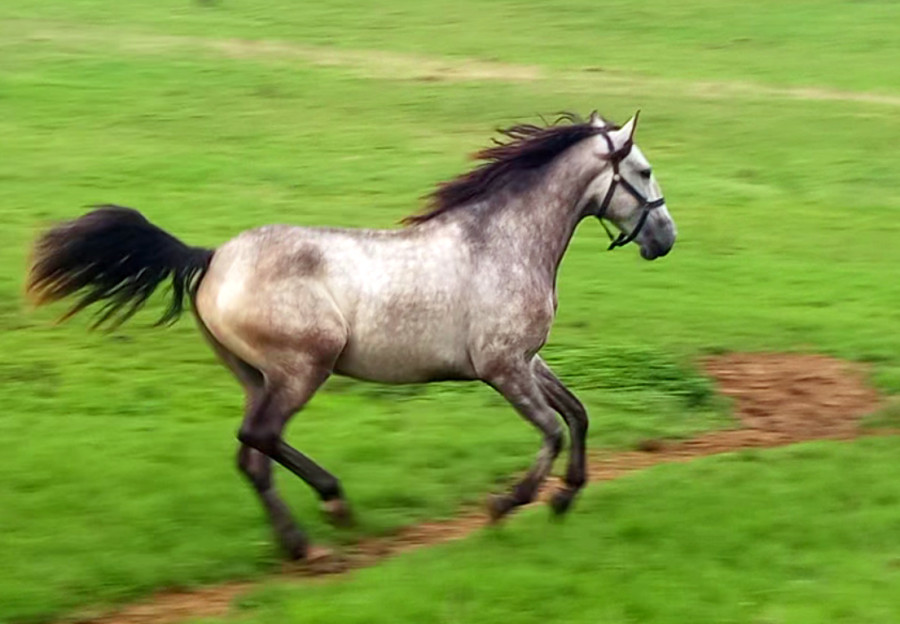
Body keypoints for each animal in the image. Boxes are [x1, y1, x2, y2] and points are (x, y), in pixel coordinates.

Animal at [26, 111, 676, 559]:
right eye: (643, 171)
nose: (666, 238)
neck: (503, 243)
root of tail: (211, 259)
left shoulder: (528, 359)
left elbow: (578, 415)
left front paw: (566, 498)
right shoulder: (503, 367)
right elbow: (551, 430)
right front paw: (505, 504)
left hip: (257, 376)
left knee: (252, 456)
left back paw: (299, 543)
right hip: (303, 366)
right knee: (259, 437)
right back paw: (331, 506)